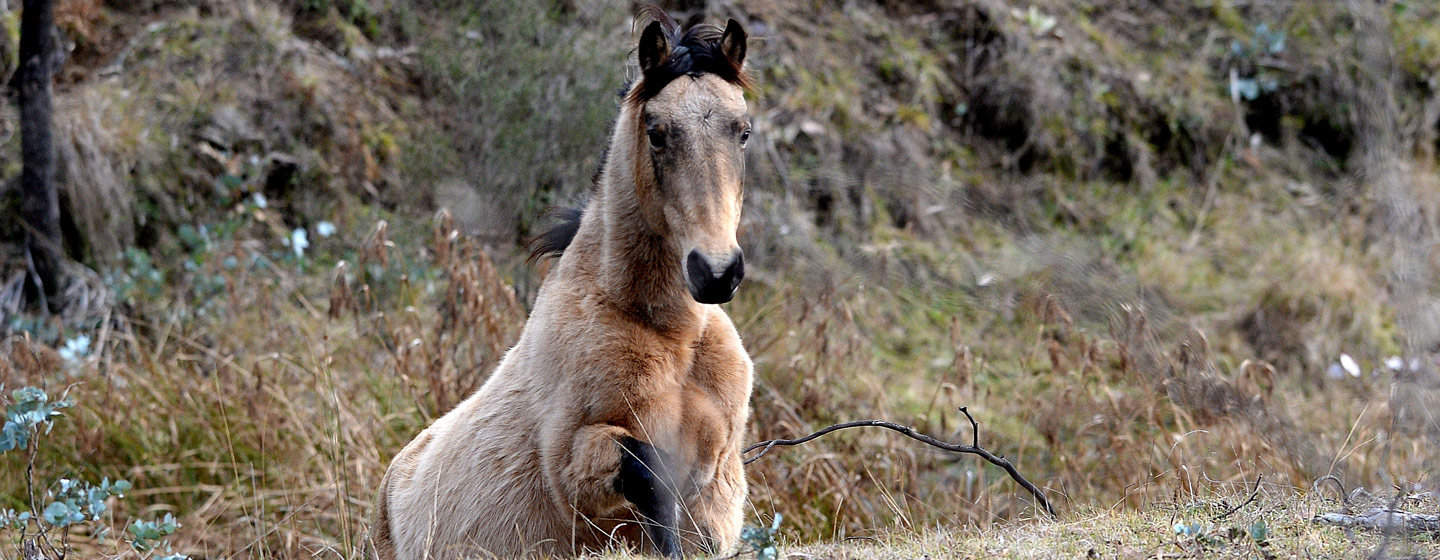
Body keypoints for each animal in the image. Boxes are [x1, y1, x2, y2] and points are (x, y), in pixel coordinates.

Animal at [370, 8, 755, 559]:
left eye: (742, 131)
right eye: (657, 132)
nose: (717, 271)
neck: (672, 337)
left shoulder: (715, 479)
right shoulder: (573, 464)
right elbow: (647, 474)